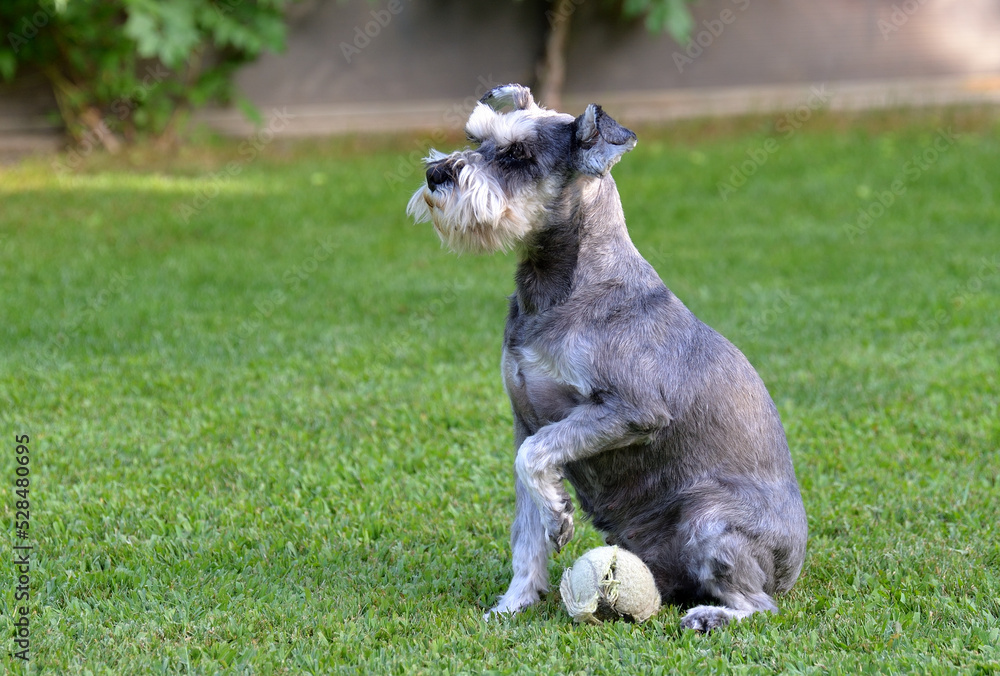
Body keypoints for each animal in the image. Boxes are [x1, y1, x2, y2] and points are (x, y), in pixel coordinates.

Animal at [406, 84, 804, 632]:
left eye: (517, 154)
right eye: (477, 138)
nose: (436, 174)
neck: (561, 289)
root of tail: (795, 565)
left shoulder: (628, 411)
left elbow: (536, 460)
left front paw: (558, 514)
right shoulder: (523, 420)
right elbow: (525, 529)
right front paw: (514, 602)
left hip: (709, 518)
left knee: (761, 606)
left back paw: (711, 616)